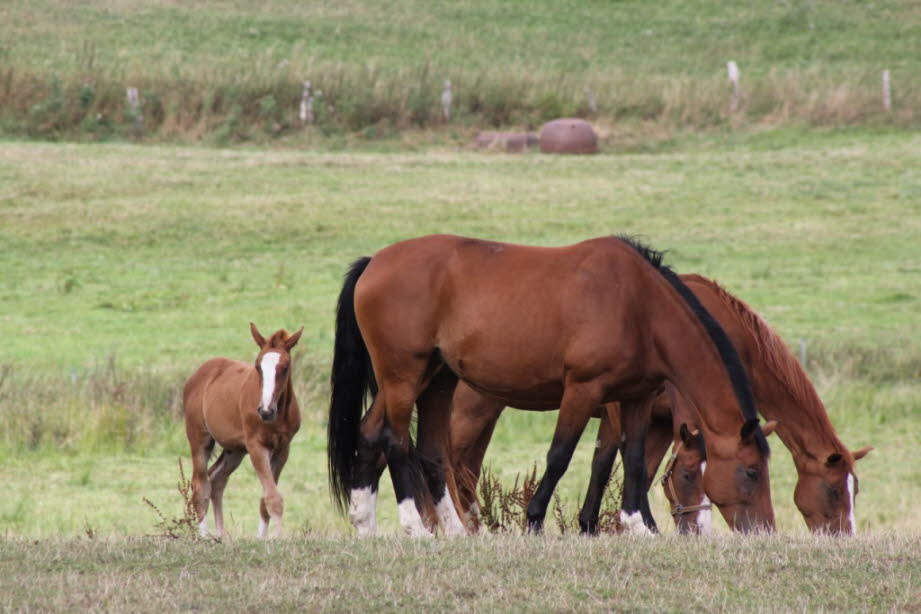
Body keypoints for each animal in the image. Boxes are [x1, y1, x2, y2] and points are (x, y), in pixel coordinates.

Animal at [183, 322, 302, 540]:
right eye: (258, 366)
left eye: (285, 367)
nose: (265, 411)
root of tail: (198, 374)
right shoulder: (256, 446)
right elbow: (273, 498)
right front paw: (278, 538)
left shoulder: (283, 449)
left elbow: (266, 498)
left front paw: (262, 539)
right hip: (199, 438)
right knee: (200, 485)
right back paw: (204, 535)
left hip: (235, 450)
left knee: (217, 480)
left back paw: (221, 535)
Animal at [328, 236, 772, 540]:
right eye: (752, 471)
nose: (764, 530)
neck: (639, 305)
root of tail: (374, 262)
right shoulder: (583, 390)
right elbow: (560, 457)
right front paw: (535, 522)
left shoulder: (636, 397)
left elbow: (632, 459)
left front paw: (636, 528)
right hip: (403, 378)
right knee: (395, 441)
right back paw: (414, 528)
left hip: (434, 380)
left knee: (394, 441)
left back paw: (380, 525)